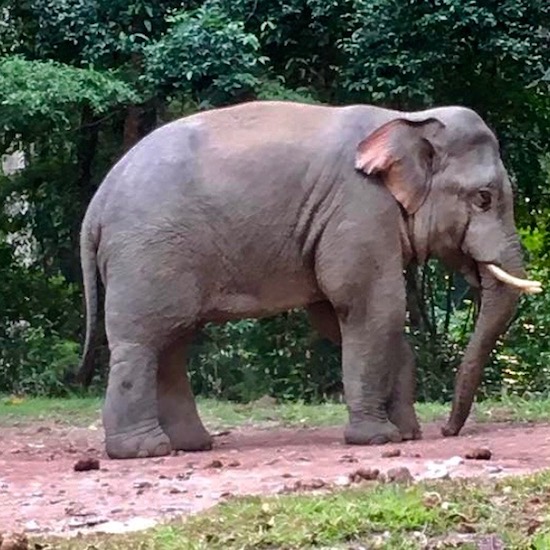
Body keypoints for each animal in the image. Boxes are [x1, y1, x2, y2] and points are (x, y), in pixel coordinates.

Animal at [77, 100, 544, 462]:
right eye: (483, 198)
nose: (447, 431)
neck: (406, 119)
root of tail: (96, 205)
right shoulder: (358, 209)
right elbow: (371, 306)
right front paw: (378, 439)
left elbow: (337, 316)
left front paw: (407, 433)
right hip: (148, 252)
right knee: (144, 341)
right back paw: (144, 451)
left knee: (173, 341)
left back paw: (192, 446)